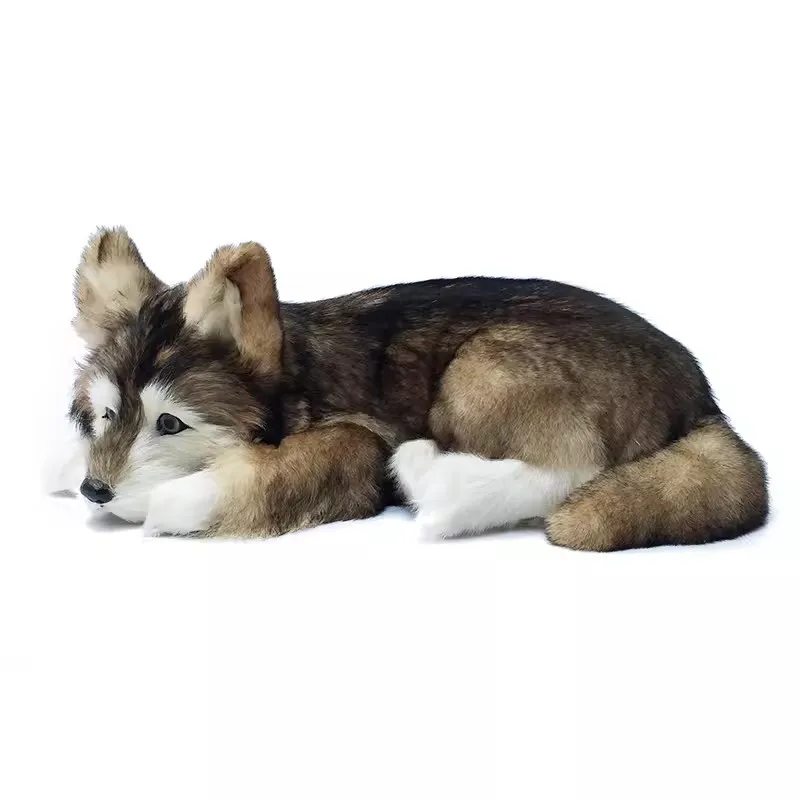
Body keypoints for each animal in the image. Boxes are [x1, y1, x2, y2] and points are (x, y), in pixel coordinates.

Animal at [45, 226, 768, 550]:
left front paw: (172, 500)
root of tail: (702, 396)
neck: (301, 370)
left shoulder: (358, 439)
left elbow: (269, 473)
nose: (96, 490)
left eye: (170, 423)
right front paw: (65, 466)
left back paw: (435, 484)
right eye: (104, 414)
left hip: (483, 367)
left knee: (569, 469)